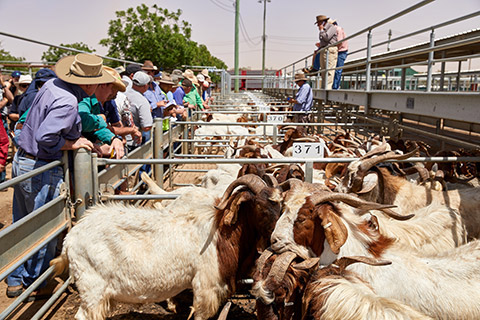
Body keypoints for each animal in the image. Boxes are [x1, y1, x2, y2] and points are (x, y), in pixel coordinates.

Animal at [51, 175, 284, 320]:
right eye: (261, 206)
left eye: (281, 205)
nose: (278, 237)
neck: (221, 232)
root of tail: (70, 239)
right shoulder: (205, 286)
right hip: (92, 288)